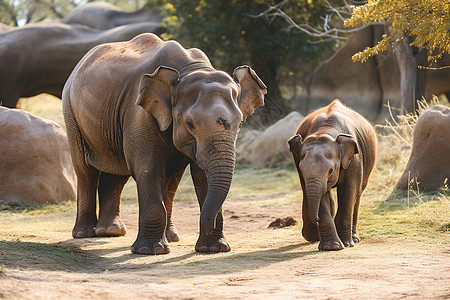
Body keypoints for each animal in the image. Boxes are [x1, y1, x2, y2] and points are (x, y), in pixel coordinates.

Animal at [63, 32, 268, 254]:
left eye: (240, 124)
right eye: (190, 123)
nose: (209, 221)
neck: (190, 69)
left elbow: (199, 173)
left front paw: (213, 249)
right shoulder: (139, 112)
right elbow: (147, 167)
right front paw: (150, 251)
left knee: (120, 173)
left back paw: (113, 232)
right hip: (71, 113)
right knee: (85, 170)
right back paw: (85, 234)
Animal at [288, 99, 376, 250]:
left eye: (330, 171)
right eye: (302, 170)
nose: (316, 220)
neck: (325, 131)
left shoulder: (354, 159)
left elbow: (348, 191)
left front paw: (346, 244)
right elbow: (322, 197)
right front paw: (332, 247)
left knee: (358, 193)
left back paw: (354, 239)